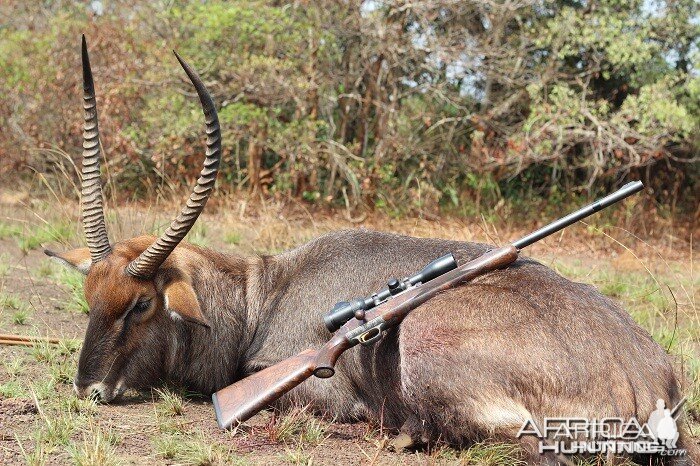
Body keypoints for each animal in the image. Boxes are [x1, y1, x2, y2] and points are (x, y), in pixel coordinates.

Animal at [46, 37, 692, 462]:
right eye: (89, 298)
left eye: (140, 305)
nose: (87, 391)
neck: (262, 295)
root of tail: (647, 379)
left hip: (428, 338)